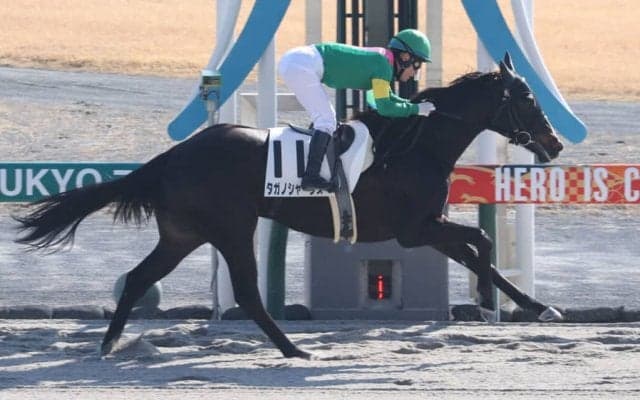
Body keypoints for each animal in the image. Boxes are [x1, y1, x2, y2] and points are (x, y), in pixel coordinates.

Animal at [15, 53, 564, 360]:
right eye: (526, 98)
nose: (554, 143)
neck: (415, 144)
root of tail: (174, 154)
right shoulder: (415, 229)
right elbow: (482, 241)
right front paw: (509, 303)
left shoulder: (428, 226)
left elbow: (481, 252)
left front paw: (534, 305)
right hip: (232, 228)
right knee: (246, 292)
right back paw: (292, 348)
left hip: (183, 234)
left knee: (137, 278)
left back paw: (108, 343)